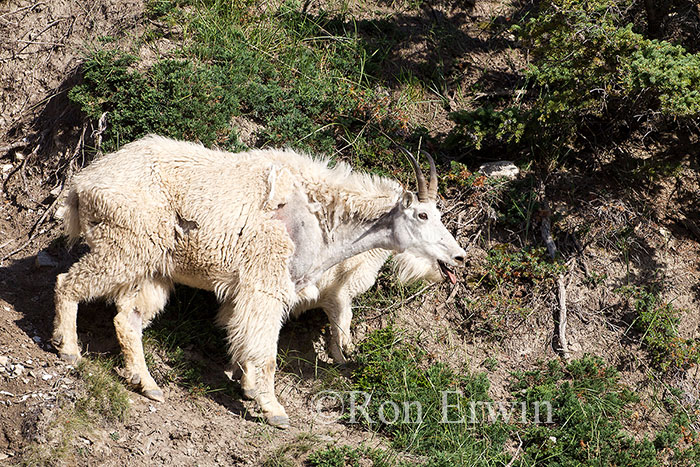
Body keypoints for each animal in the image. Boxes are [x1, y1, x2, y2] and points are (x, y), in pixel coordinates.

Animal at [52, 135, 465, 428]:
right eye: (423, 215)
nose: (459, 257)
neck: (321, 218)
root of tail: (79, 185)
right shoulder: (265, 286)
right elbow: (266, 352)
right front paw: (274, 409)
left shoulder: (248, 293)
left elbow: (240, 339)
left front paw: (246, 387)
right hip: (123, 246)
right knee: (67, 283)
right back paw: (68, 349)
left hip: (152, 268)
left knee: (128, 318)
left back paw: (148, 385)